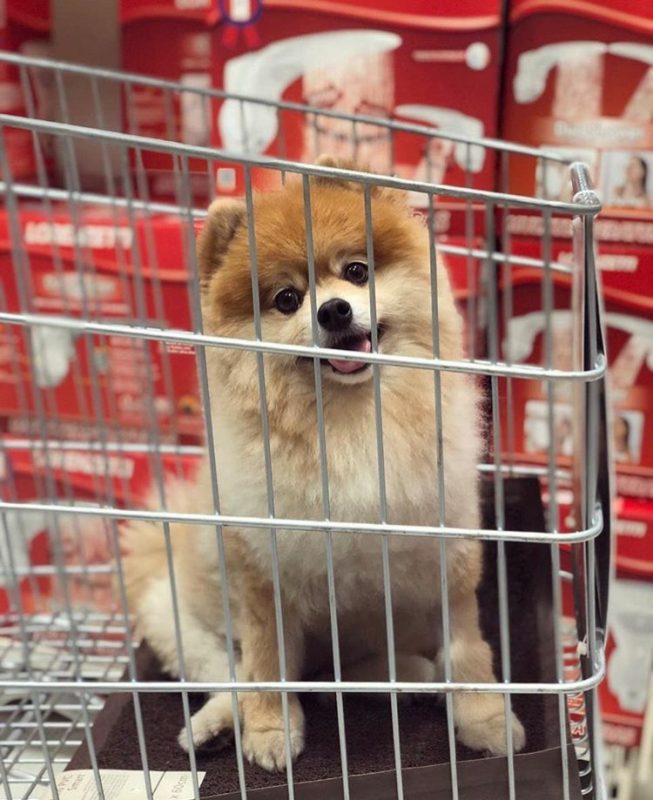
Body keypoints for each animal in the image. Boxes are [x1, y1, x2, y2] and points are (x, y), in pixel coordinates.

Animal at [121, 157, 526, 772]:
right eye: (287, 299)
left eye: (357, 271)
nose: (333, 309)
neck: (347, 422)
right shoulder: (262, 571)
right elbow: (266, 662)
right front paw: (269, 728)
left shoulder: (446, 551)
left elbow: (465, 647)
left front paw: (483, 718)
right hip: (174, 613)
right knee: (230, 671)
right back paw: (217, 724)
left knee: (347, 675)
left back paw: (413, 676)